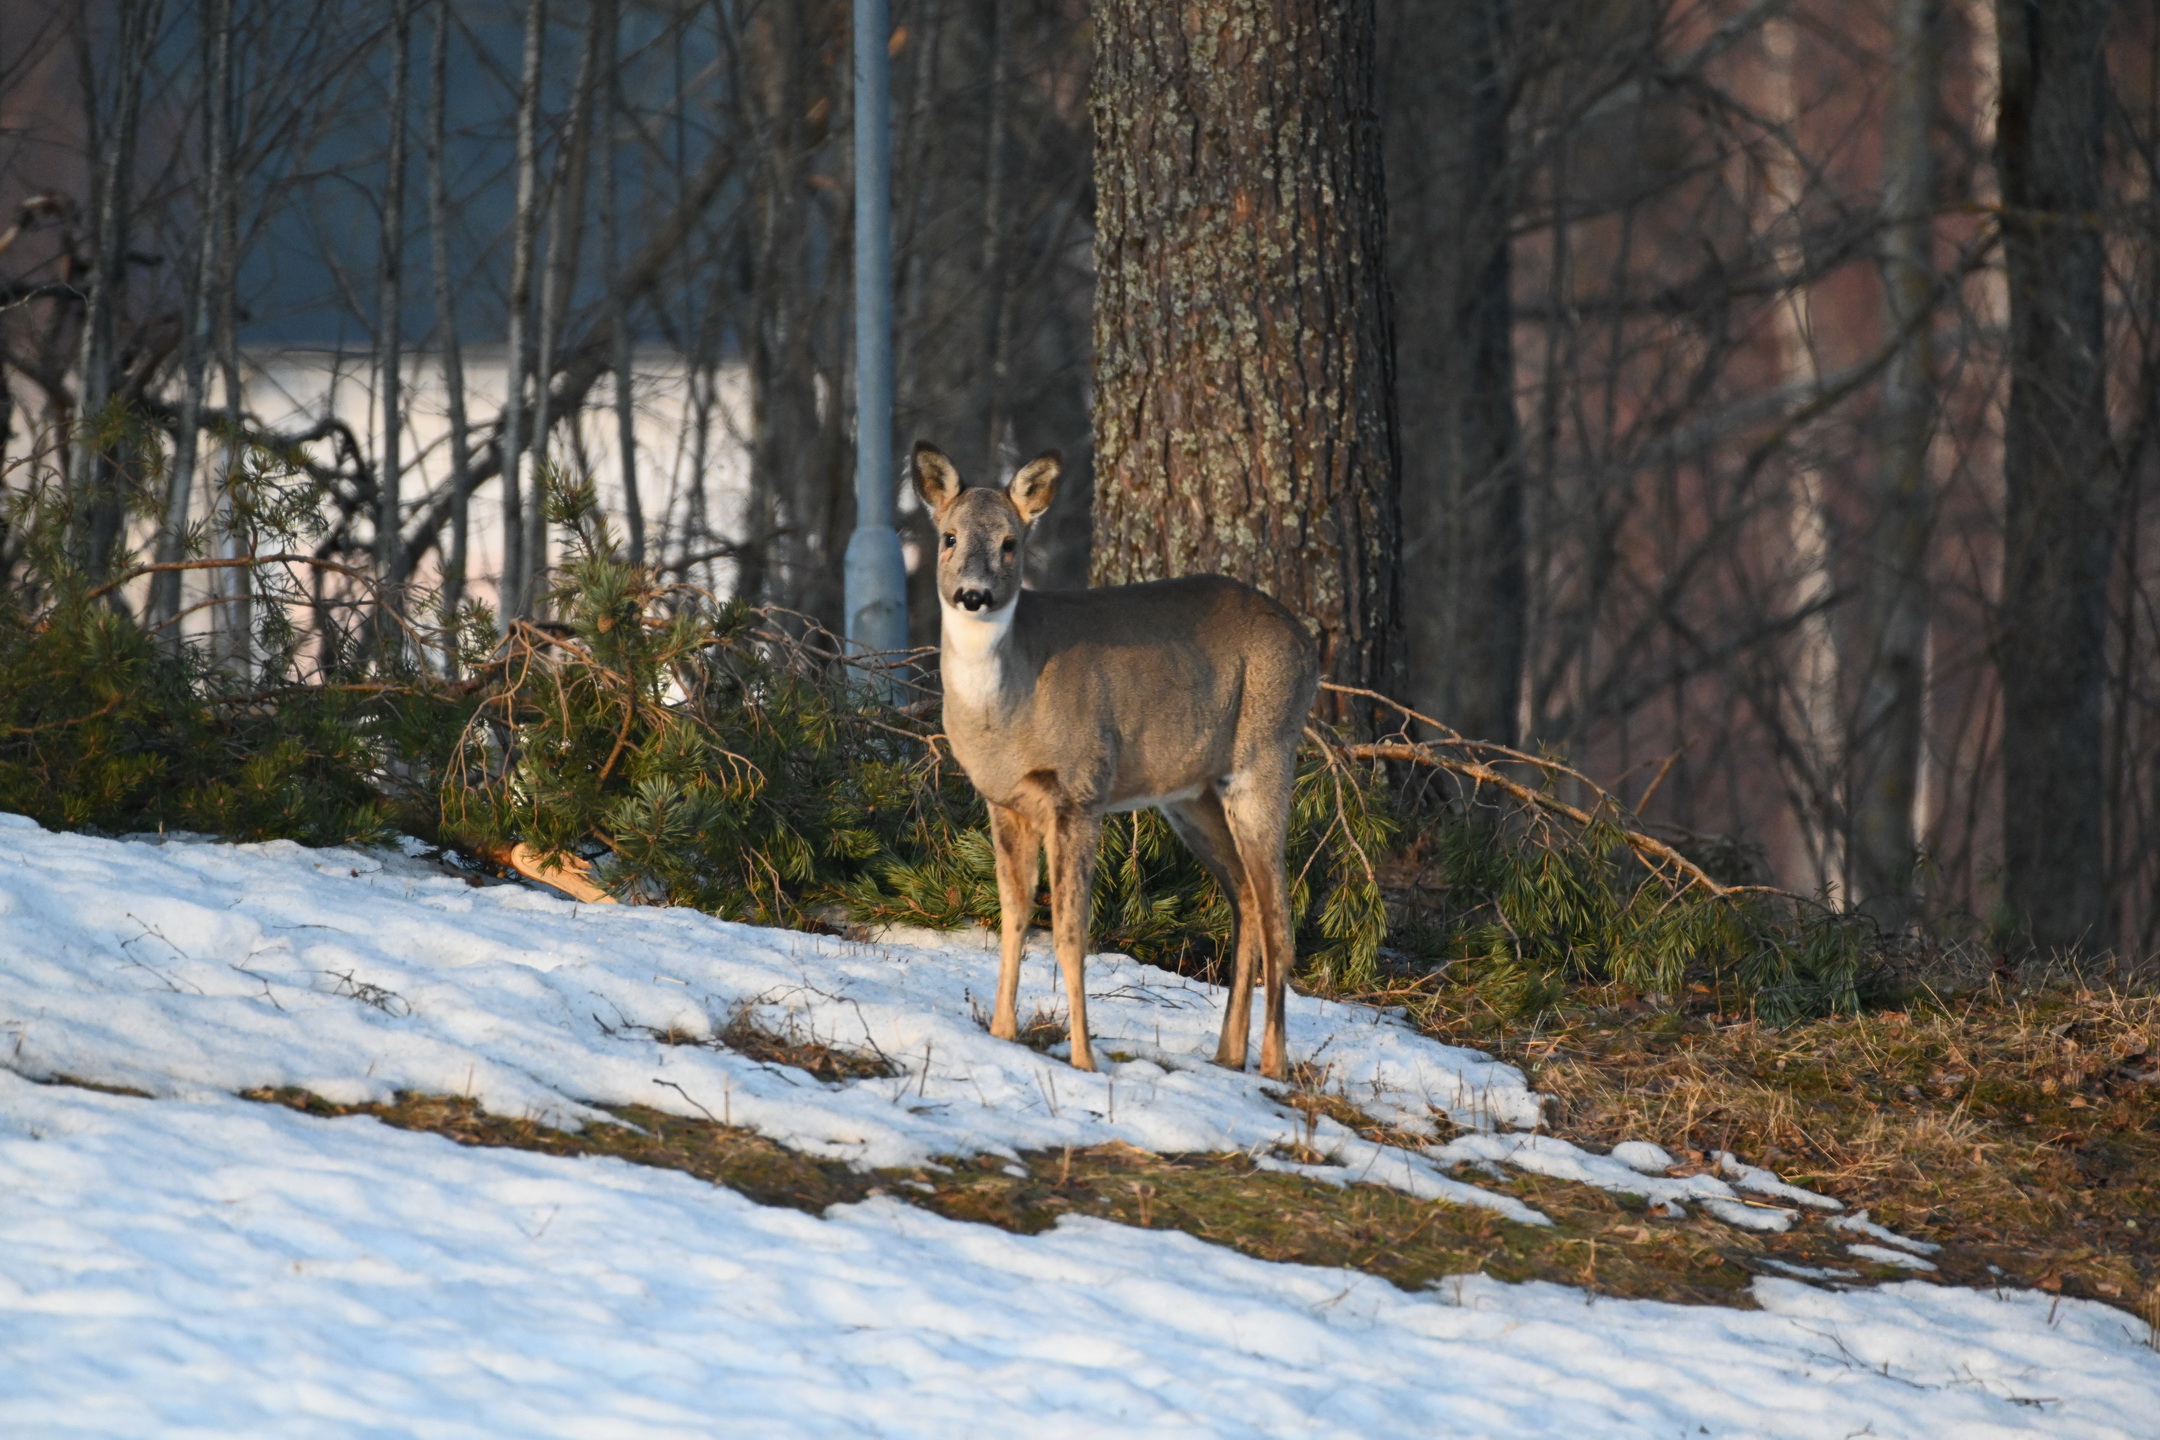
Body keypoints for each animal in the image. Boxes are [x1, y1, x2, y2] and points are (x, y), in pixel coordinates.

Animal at [911, 442, 1313, 1079]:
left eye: (1011, 542)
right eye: (949, 537)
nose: (974, 594)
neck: (1007, 705)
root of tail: (1308, 643)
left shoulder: (1081, 789)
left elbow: (1071, 931)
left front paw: (1083, 1060)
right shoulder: (1004, 800)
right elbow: (1013, 916)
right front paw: (1001, 1034)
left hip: (1265, 756)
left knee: (1280, 914)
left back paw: (1271, 1067)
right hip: (1191, 794)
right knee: (1246, 899)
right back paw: (1227, 1056)